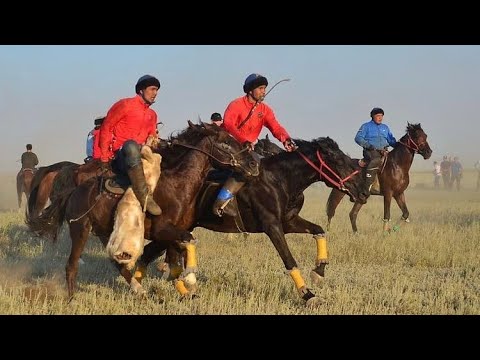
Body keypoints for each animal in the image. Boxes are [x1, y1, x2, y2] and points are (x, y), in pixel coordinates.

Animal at [26, 121, 258, 300]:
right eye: (226, 142)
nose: (253, 163)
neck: (177, 184)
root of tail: (75, 191)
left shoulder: (171, 232)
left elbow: (176, 256)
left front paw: (184, 289)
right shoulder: (162, 230)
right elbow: (187, 241)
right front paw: (191, 280)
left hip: (104, 232)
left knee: (116, 262)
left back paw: (139, 289)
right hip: (80, 229)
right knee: (72, 265)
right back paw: (72, 298)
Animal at [137, 136, 370, 306]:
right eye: (338, 161)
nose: (363, 192)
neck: (280, 179)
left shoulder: (289, 222)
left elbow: (319, 230)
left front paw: (319, 271)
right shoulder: (272, 226)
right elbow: (289, 260)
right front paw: (308, 295)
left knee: (149, 255)